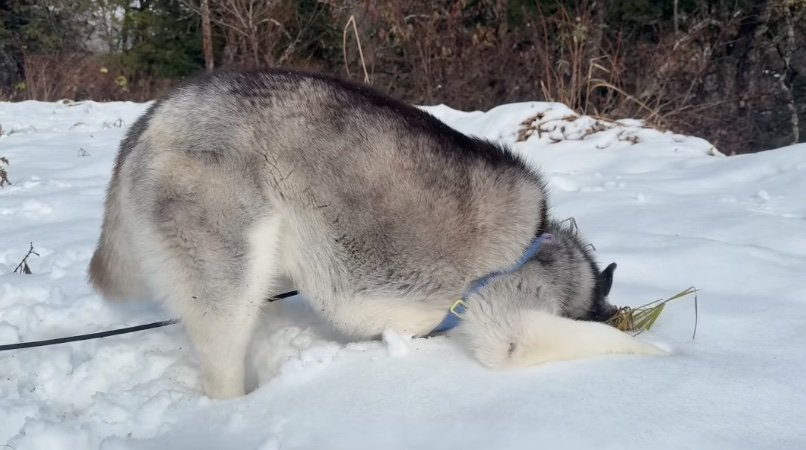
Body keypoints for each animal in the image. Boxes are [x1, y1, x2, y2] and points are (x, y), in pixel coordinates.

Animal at [88, 70, 664, 398]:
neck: (544, 249)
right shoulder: (511, 328)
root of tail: (161, 111)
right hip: (226, 279)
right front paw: (666, 357)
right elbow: (607, 341)